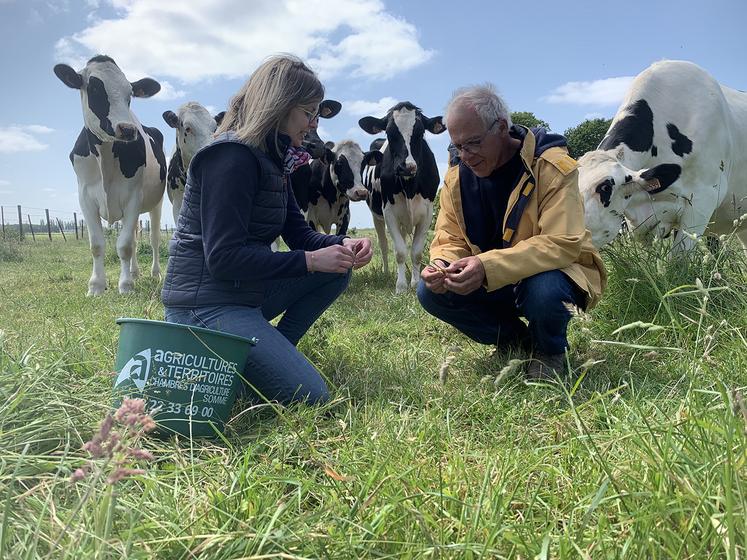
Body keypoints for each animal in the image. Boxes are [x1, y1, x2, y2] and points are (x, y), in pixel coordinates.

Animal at [54, 54, 167, 296]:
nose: (128, 129)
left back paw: (154, 273)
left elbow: (124, 246)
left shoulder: (133, 197)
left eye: (130, 94)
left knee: (153, 239)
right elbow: (97, 244)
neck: (105, 156)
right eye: (94, 88)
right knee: (135, 238)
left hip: (156, 202)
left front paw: (125, 286)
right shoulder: (85, 197)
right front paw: (96, 286)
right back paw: (134, 272)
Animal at [360, 101, 448, 294]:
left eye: (421, 132)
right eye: (389, 132)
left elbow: (416, 252)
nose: (406, 166)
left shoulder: (427, 213)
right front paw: (400, 286)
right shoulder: (389, 213)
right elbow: (400, 251)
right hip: (377, 216)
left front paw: (415, 283)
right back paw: (387, 273)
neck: (410, 187)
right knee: (384, 245)